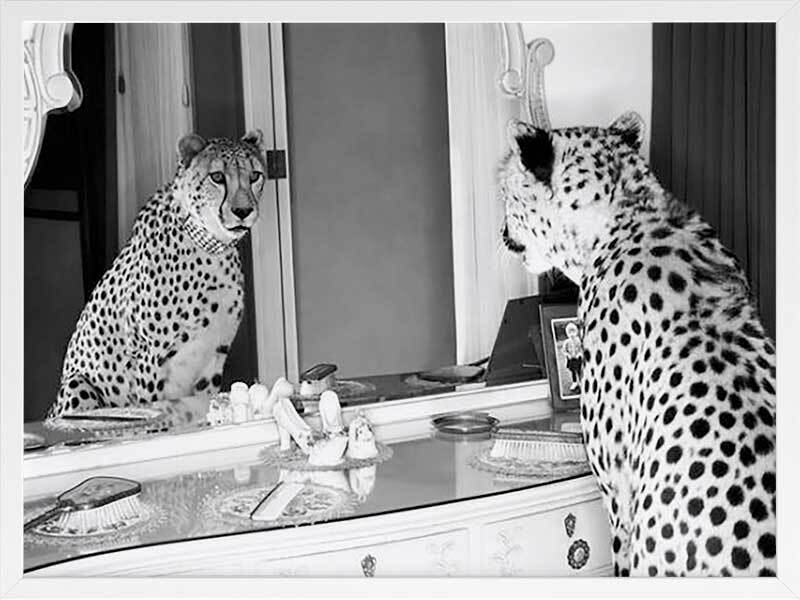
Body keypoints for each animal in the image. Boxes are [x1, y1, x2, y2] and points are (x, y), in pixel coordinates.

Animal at [46, 130, 266, 421]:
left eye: (255, 176)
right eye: (217, 177)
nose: (243, 211)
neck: (209, 245)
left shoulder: (214, 356)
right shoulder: (149, 355)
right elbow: (153, 403)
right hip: (77, 383)